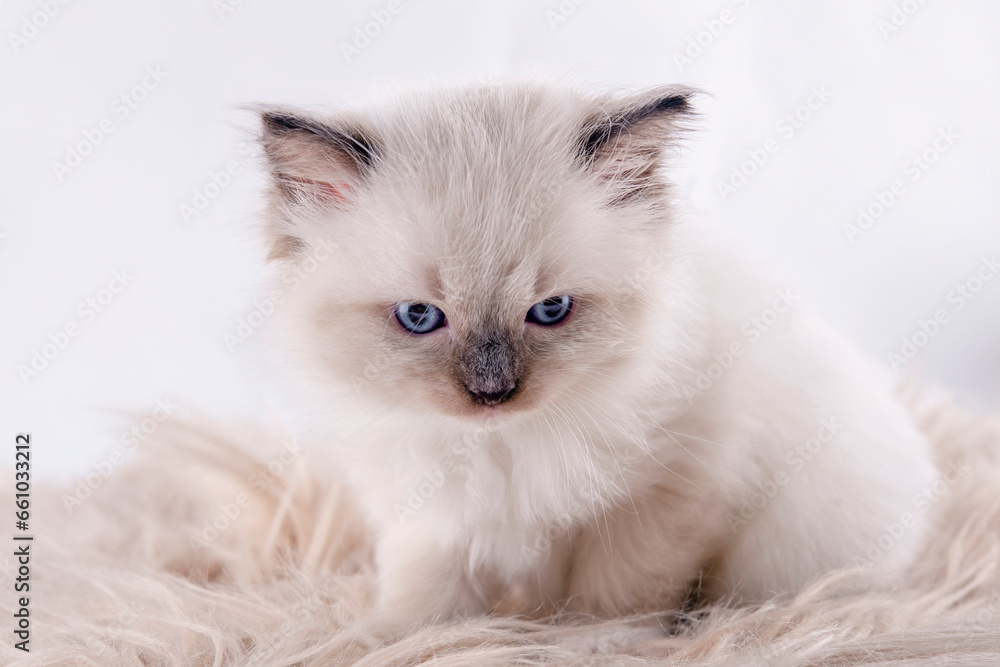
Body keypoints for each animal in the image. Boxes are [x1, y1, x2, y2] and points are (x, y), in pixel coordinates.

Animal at [256, 79, 936, 628]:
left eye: (551, 310)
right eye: (419, 317)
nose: (492, 393)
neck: (503, 445)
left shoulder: (663, 498)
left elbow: (610, 606)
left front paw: (589, 643)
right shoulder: (433, 519)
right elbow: (426, 611)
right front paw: (403, 641)